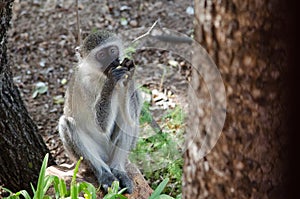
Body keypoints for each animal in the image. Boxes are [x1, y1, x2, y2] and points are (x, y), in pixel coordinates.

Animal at [59, 29, 143, 193]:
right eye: (102, 55)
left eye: (112, 51)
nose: (113, 62)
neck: (100, 76)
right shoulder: (83, 84)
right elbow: (99, 125)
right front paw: (112, 81)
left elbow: (132, 118)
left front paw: (130, 72)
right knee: (67, 122)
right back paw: (105, 174)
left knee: (127, 122)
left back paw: (118, 170)